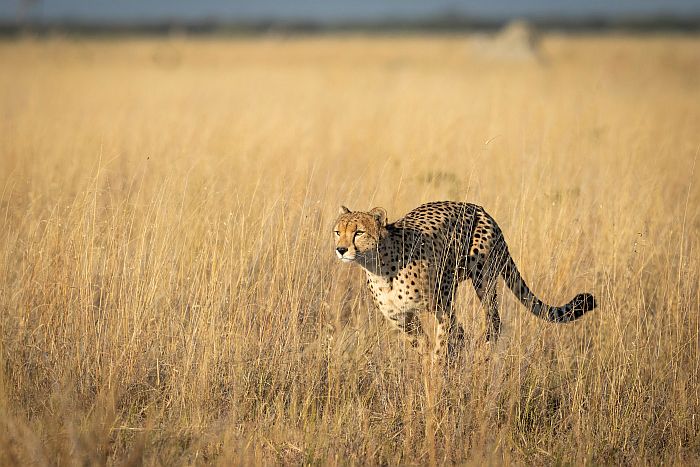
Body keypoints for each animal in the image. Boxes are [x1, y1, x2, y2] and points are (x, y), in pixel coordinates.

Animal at [333, 201, 596, 360]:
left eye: (359, 232)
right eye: (338, 232)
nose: (341, 249)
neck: (379, 267)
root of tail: (480, 209)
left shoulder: (442, 308)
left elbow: (440, 349)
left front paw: (436, 385)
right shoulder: (402, 319)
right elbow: (424, 347)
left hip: (482, 277)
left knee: (493, 321)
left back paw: (483, 355)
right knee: (463, 332)